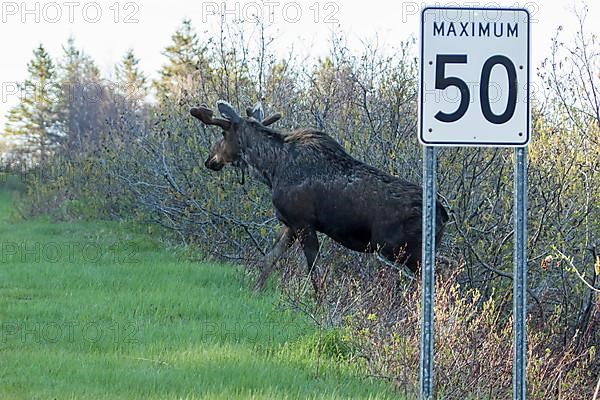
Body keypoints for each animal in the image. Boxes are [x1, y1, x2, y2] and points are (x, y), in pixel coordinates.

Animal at [190, 101, 448, 296]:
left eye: (223, 133)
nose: (210, 160)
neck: (271, 169)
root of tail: (443, 214)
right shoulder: (289, 224)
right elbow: (270, 258)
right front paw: (255, 291)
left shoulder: (303, 222)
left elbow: (314, 270)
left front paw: (320, 305)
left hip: (400, 250)